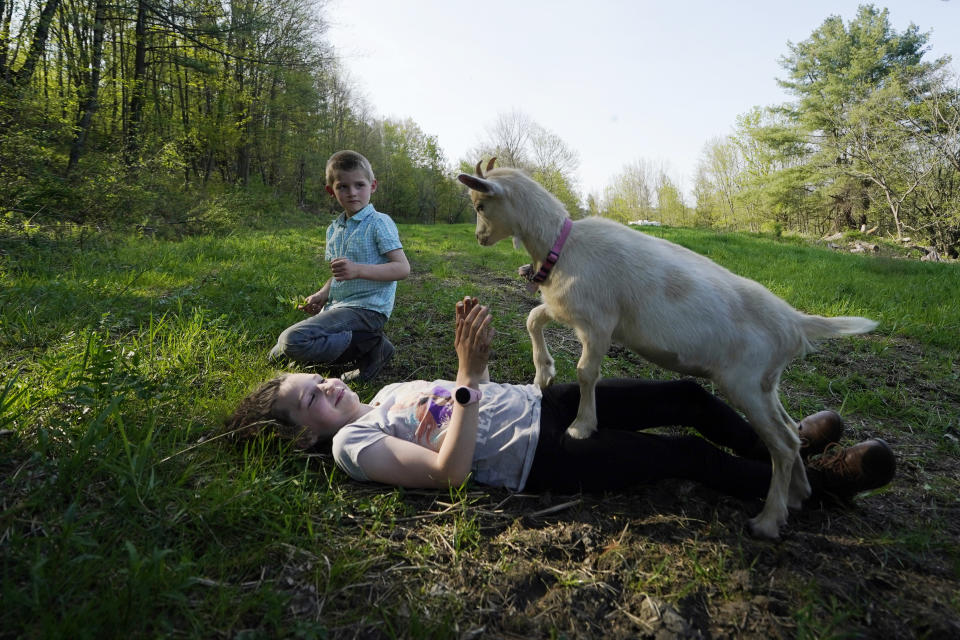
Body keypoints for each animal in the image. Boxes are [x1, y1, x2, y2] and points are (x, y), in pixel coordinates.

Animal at [458, 158, 876, 536]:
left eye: (480, 205)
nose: (479, 238)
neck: (562, 247)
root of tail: (794, 323)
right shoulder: (567, 308)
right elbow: (533, 318)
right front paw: (543, 374)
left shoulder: (598, 323)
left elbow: (586, 372)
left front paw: (582, 426)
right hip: (765, 384)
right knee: (790, 430)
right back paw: (798, 494)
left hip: (745, 383)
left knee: (785, 444)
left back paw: (769, 520)